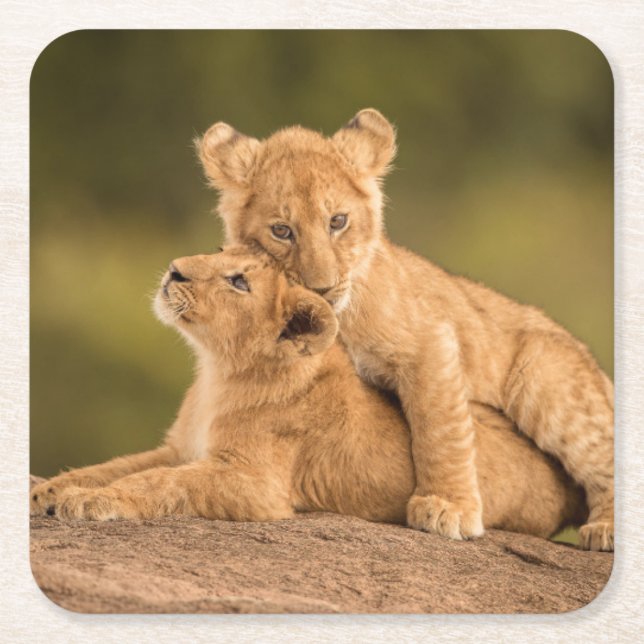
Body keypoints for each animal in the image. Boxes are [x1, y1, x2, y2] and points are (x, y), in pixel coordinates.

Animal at [30, 248, 586, 540]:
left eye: (238, 282)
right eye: (221, 251)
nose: (174, 269)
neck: (217, 372)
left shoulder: (257, 484)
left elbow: (159, 483)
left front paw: (92, 501)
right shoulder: (178, 447)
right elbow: (115, 466)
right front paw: (49, 490)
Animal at [195, 110, 613, 551]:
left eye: (337, 221)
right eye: (281, 230)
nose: (322, 288)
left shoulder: (430, 340)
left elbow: (439, 428)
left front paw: (448, 507)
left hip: (543, 375)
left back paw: (604, 529)